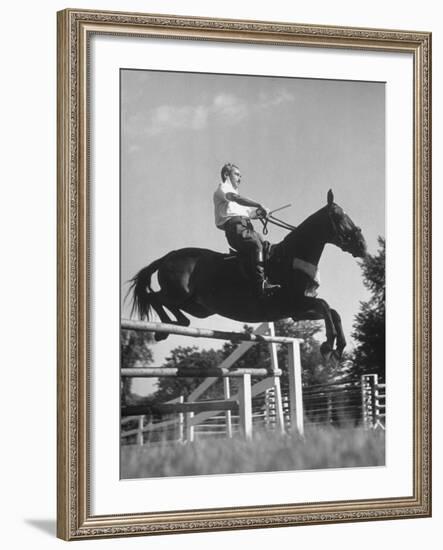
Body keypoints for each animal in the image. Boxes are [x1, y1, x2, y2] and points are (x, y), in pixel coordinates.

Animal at [128, 192, 368, 364]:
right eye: (338, 216)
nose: (362, 245)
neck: (291, 257)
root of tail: (167, 257)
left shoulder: (297, 311)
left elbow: (333, 312)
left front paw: (338, 347)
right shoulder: (294, 302)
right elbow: (326, 306)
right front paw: (328, 345)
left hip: (198, 307)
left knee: (175, 309)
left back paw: (176, 323)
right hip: (179, 292)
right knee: (155, 297)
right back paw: (165, 328)